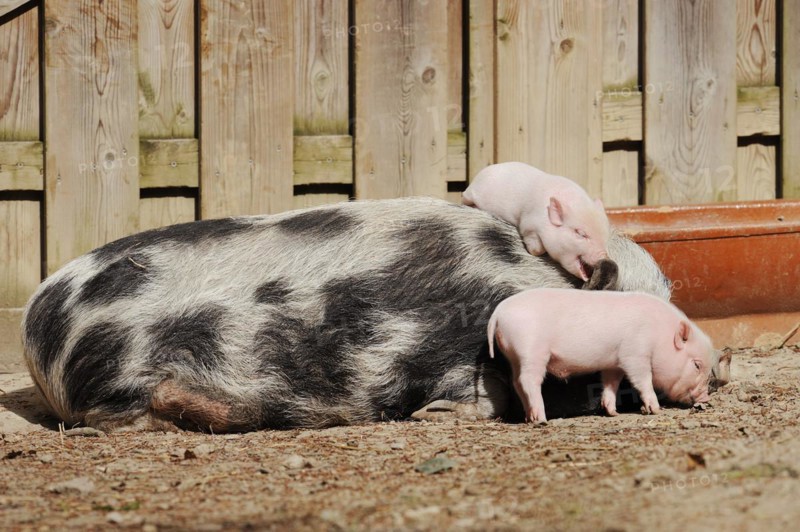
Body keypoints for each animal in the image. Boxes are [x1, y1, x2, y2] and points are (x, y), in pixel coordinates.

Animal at [463, 162, 610, 281]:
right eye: (581, 234)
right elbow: (535, 247)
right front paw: (535, 251)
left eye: (605, 236)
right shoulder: (528, 225)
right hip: (470, 193)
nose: (605, 258)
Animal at [487, 288, 714, 423]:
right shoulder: (634, 353)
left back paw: (529, 418)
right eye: (696, 365)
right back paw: (542, 419)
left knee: (517, 382)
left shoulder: (614, 363)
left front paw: (612, 412)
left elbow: (611, 383)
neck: (659, 334)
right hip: (531, 350)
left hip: (514, 356)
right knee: (529, 380)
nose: (705, 397)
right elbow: (642, 380)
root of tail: (498, 312)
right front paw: (656, 409)